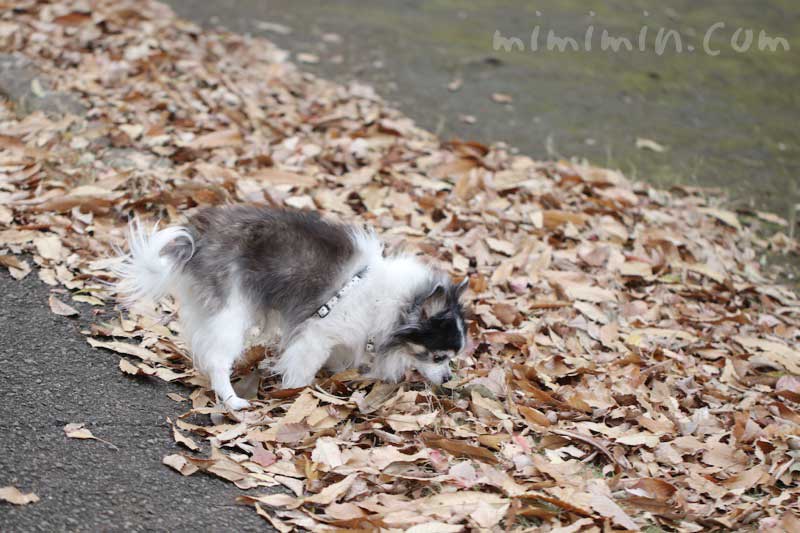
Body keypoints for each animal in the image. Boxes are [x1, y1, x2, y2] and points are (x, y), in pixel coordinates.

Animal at [115, 206, 472, 410]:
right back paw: (233, 400)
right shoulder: (317, 335)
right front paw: (295, 393)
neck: (395, 302)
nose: (447, 379)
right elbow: (302, 369)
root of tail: (198, 237)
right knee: (218, 359)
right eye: (438, 357)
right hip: (233, 312)